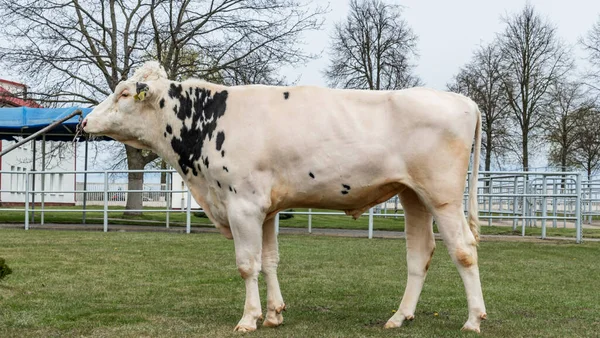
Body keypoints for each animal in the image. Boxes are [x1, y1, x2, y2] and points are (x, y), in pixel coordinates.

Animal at [82, 61, 486, 332]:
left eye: (123, 93)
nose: (84, 121)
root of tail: (463, 100)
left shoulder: (243, 205)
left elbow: (248, 264)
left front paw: (249, 318)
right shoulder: (267, 208)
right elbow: (270, 260)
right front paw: (275, 313)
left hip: (443, 195)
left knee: (464, 249)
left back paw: (473, 319)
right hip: (413, 194)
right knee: (420, 254)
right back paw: (399, 317)